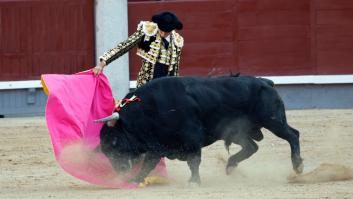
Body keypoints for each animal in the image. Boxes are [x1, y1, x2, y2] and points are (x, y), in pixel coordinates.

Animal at [97, 75, 302, 184]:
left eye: (114, 141)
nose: (120, 170)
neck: (149, 110)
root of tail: (265, 82)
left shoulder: (192, 137)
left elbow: (194, 160)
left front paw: (194, 181)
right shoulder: (158, 144)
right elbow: (148, 164)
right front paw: (134, 180)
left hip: (273, 121)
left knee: (293, 135)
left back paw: (298, 166)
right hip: (236, 131)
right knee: (252, 146)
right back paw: (230, 166)